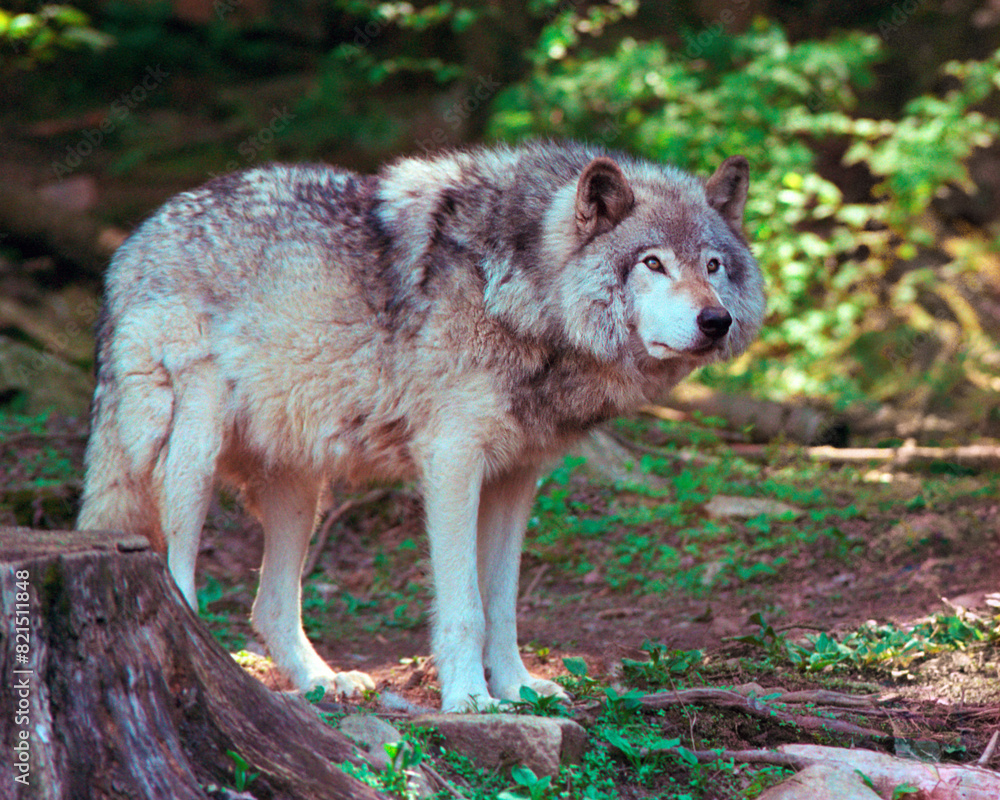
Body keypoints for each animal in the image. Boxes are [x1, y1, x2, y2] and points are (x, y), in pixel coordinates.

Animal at [78, 141, 765, 712]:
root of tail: (134, 240)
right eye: (652, 263)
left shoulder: (517, 478)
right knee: (180, 576)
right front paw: (469, 699)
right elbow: (466, 606)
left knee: (269, 606)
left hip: (301, 494)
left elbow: (503, 606)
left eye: (713, 265)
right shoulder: (452, 462)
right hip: (190, 456)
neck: (518, 288)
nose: (716, 321)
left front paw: (517, 688)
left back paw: (323, 683)